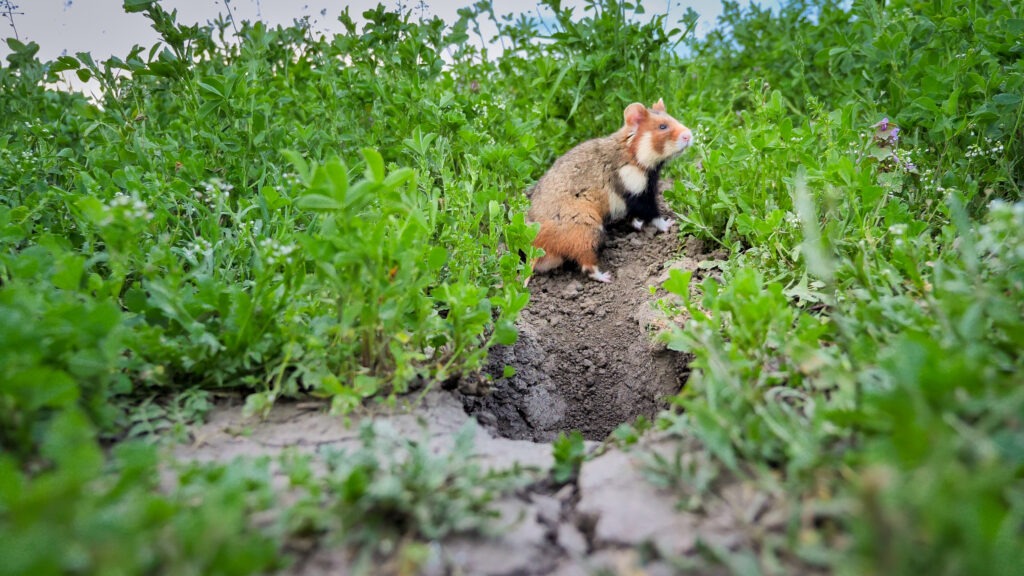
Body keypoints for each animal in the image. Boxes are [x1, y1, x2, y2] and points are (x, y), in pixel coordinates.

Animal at [528, 99, 696, 282]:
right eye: (662, 127)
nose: (689, 135)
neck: (633, 153)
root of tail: (539, 248)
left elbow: (633, 218)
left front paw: (639, 226)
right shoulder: (638, 193)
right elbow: (653, 215)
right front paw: (669, 224)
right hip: (588, 230)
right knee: (587, 265)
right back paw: (606, 277)